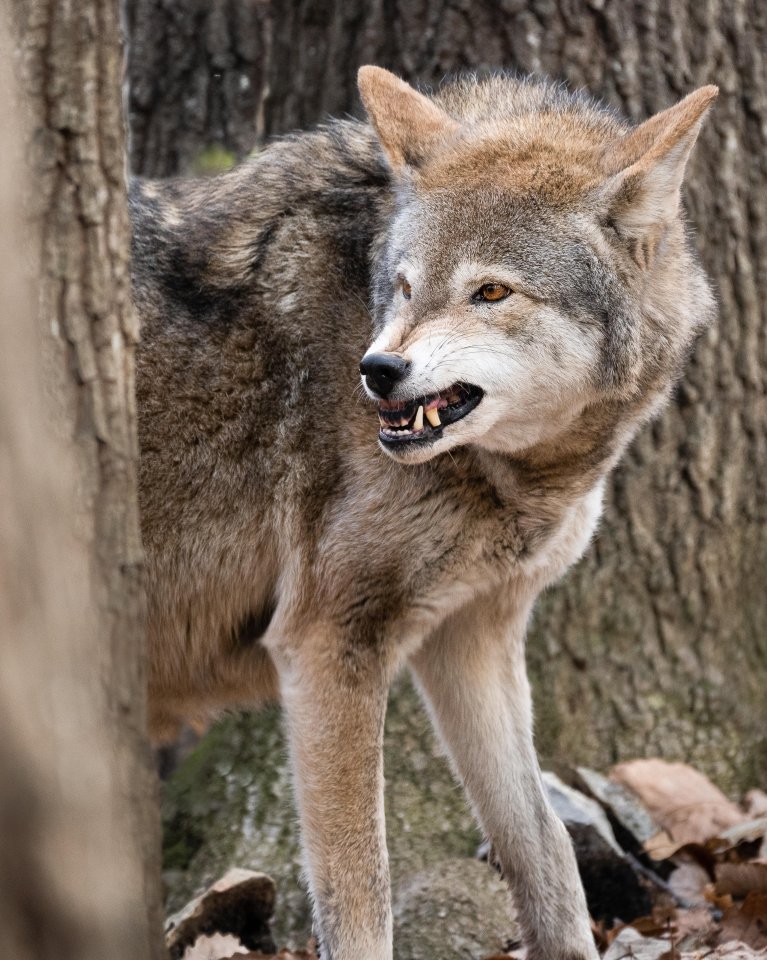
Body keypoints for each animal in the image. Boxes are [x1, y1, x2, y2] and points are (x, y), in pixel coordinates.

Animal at [130, 67, 712, 960]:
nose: (377, 370)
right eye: (403, 287)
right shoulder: (328, 644)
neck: (518, 475)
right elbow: (359, 890)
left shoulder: (471, 637)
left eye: (490, 291)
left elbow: (542, 848)